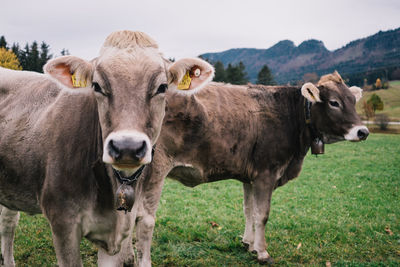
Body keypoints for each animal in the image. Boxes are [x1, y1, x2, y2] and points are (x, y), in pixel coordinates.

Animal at [0, 30, 214, 266]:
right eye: (96, 86)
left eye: (162, 87)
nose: (127, 147)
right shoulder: (62, 222)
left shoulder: (116, 237)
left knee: (8, 222)